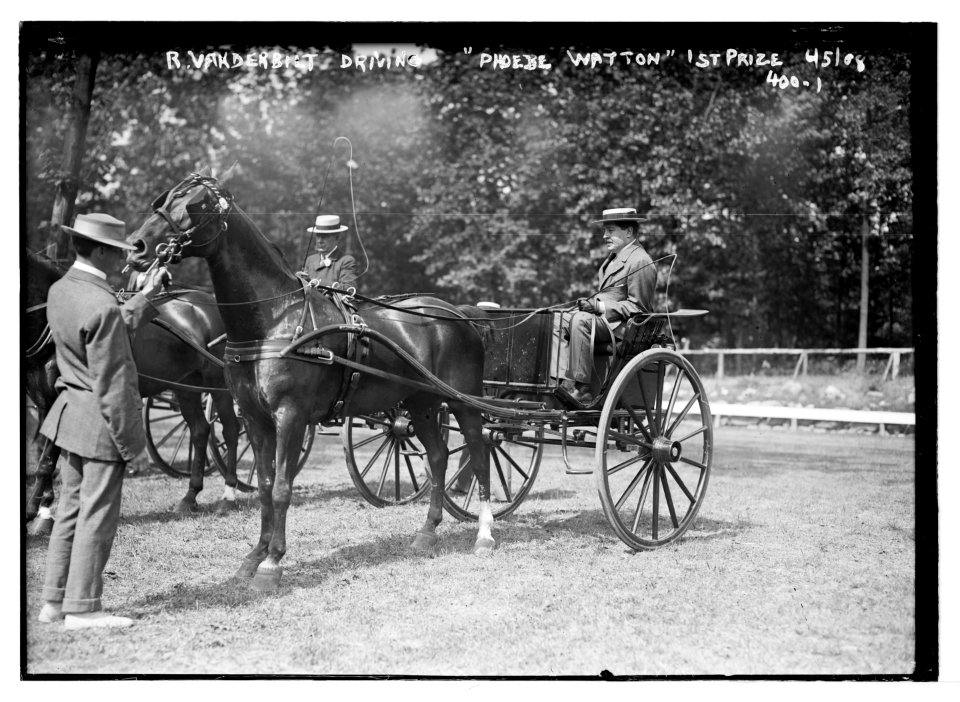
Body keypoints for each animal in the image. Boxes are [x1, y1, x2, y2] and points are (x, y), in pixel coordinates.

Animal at [24, 250, 242, 516]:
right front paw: (44, 504)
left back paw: (228, 494)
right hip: (186, 386)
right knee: (200, 431)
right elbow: (46, 451)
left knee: (231, 429)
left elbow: (47, 459)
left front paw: (33, 508)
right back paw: (190, 496)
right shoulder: (44, 402)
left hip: (217, 384)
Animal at [127, 172, 496, 592]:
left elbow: (283, 488)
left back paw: (484, 533)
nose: (137, 246)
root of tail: (458, 313)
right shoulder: (256, 418)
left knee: (479, 453)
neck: (274, 319)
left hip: (464, 402)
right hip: (420, 405)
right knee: (437, 457)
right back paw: (427, 532)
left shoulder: (291, 416)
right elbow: (265, 487)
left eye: (194, 205)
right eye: (163, 199)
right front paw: (253, 557)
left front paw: (272, 564)